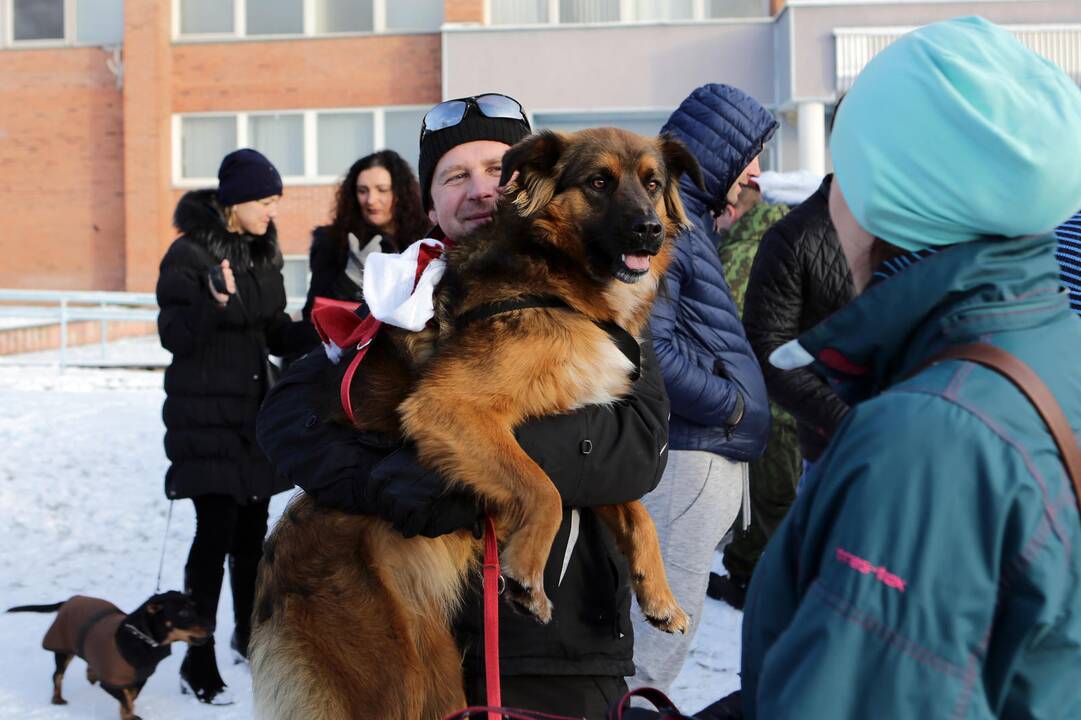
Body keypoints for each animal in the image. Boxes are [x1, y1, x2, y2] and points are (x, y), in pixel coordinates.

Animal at [249, 129, 704, 717]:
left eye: (652, 184)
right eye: (599, 181)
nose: (650, 230)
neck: (555, 276)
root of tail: (272, 579)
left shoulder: (583, 427)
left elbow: (633, 511)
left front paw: (659, 595)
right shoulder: (447, 407)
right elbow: (543, 490)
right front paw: (527, 575)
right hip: (396, 677)